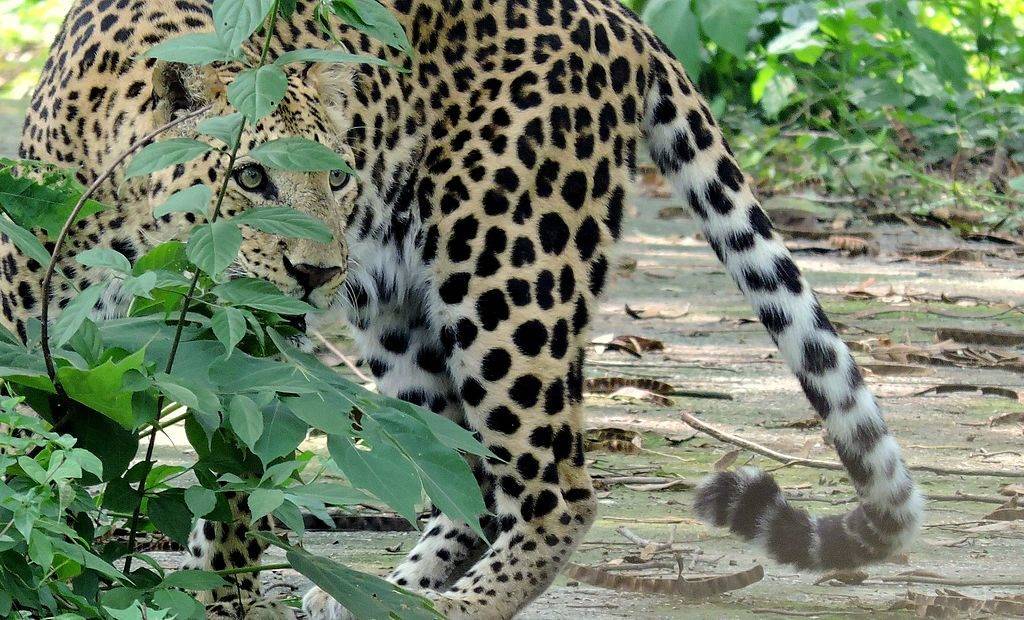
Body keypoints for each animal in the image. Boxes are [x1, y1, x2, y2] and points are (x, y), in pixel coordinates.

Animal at [2, 1, 929, 618]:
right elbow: (40, 459)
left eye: (339, 179)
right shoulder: (30, 316)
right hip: (400, 316)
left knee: (556, 488)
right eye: (253, 177)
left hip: (505, 273)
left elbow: (234, 483)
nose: (317, 272)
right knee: (471, 480)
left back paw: (448, 607)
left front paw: (210, 599)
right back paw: (379, 598)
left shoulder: (254, 344)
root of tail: (618, 18)